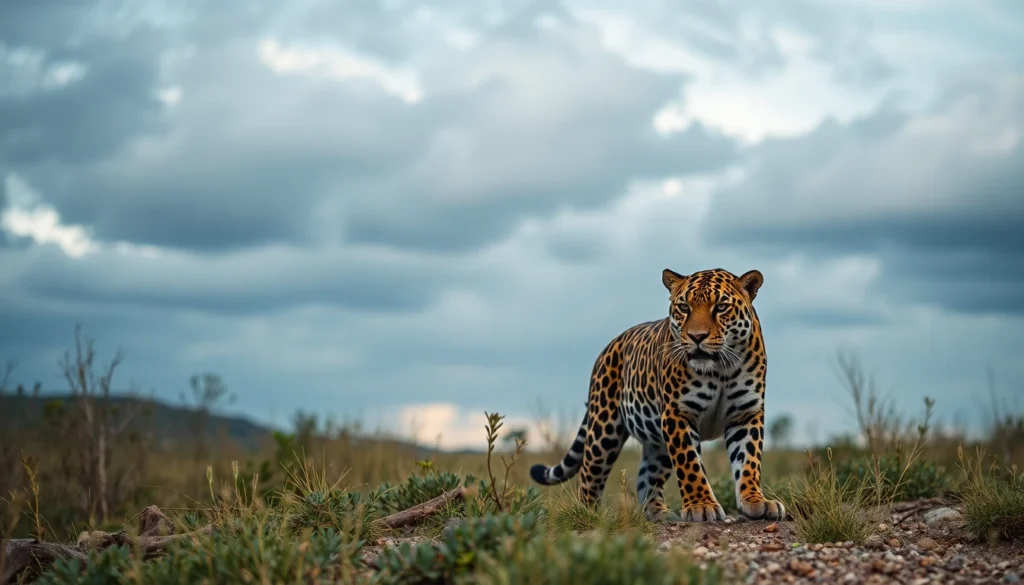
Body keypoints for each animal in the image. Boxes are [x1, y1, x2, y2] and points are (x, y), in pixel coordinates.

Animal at [529, 267, 786, 523]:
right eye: (684, 307)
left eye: (721, 307)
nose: (697, 337)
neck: (720, 370)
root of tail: (609, 347)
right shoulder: (678, 413)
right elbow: (689, 464)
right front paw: (701, 505)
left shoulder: (745, 413)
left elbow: (749, 461)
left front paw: (756, 501)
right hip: (604, 429)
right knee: (589, 475)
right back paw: (588, 514)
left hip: (656, 441)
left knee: (645, 478)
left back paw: (659, 513)